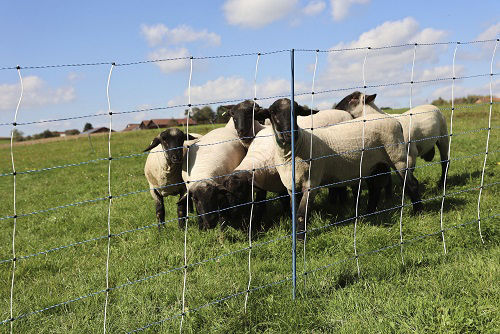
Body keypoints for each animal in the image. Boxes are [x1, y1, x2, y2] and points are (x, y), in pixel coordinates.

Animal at [266, 98, 422, 239]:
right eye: (273, 112)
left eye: (297, 111)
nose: (290, 134)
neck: (297, 147)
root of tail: (396, 122)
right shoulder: (291, 187)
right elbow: (294, 212)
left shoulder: (311, 182)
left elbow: (301, 213)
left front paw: (300, 239)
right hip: (375, 165)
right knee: (375, 189)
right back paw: (368, 214)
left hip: (397, 157)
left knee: (412, 184)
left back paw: (417, 212)